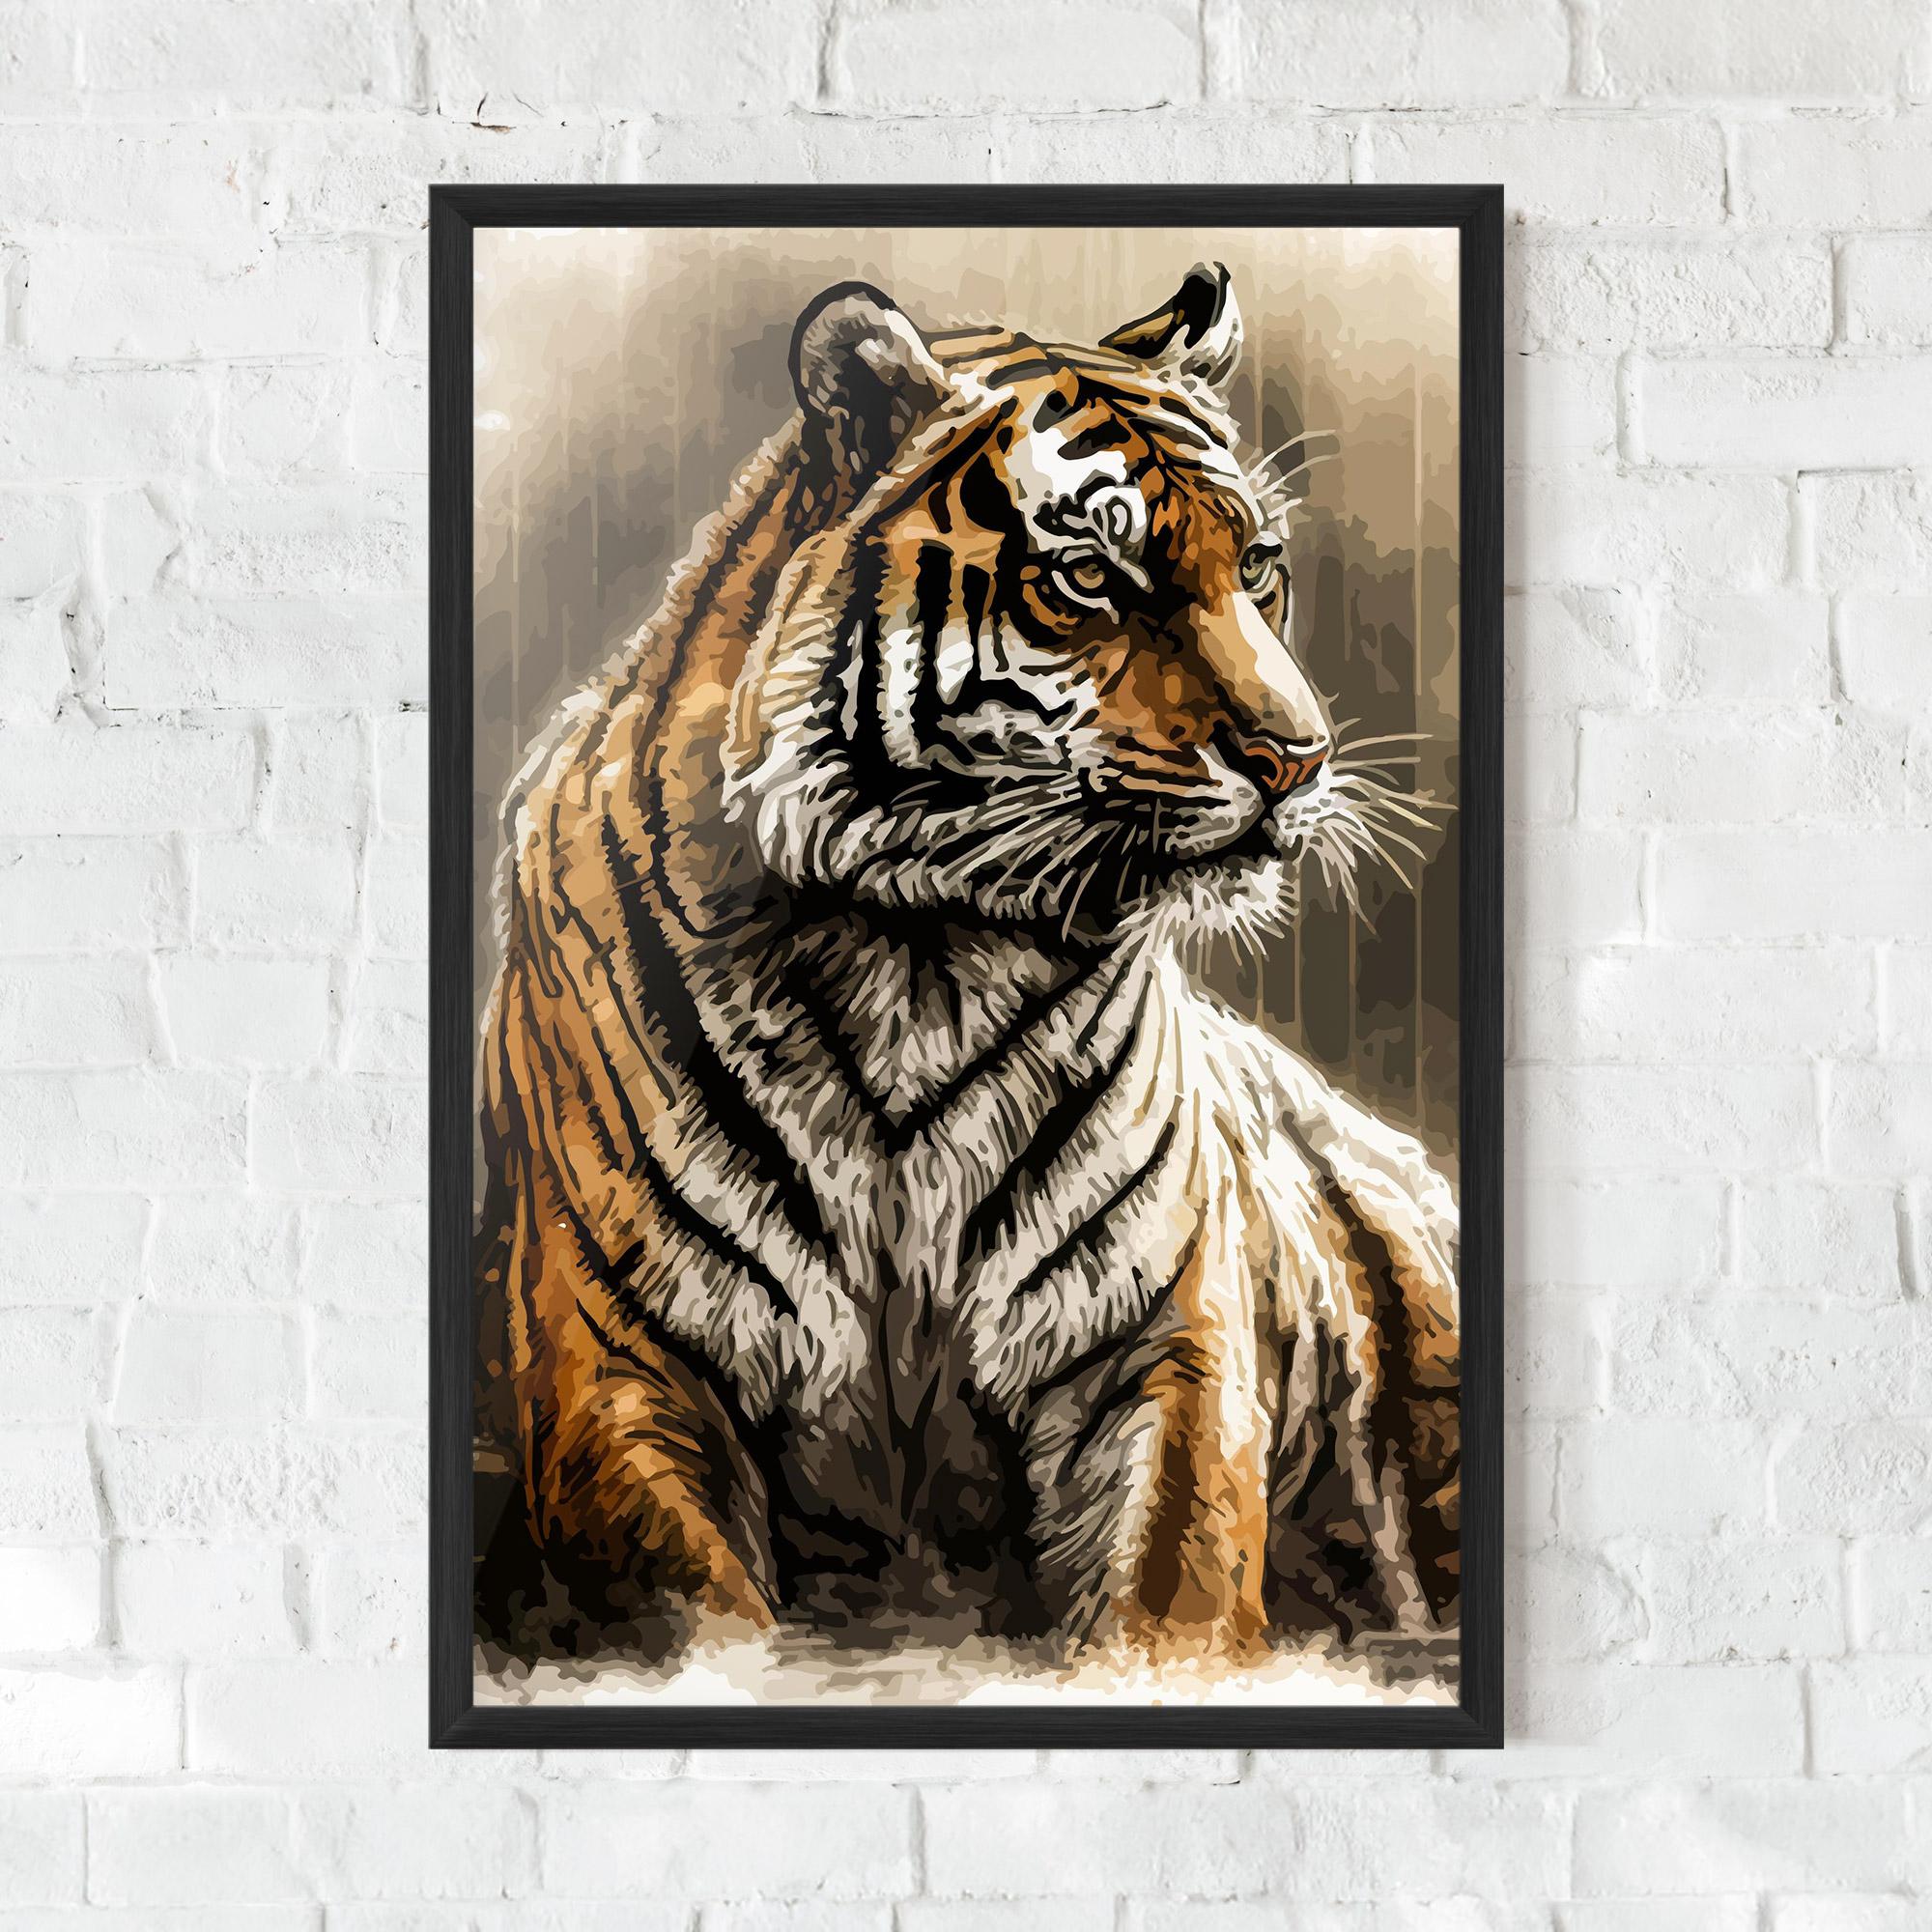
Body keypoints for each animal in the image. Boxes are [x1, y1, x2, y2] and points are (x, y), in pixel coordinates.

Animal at [474, 263, 1459, 1674]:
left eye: (1259, 567)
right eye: (1091, 577)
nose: (1297, 757)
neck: (919, 953)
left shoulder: (1164, 1349)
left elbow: (1163, 1600)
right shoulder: (618, 1365)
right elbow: (704, 1620)